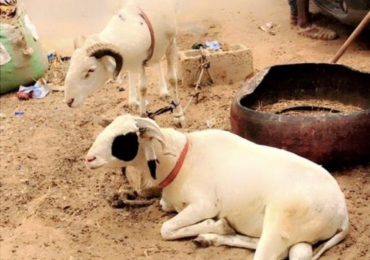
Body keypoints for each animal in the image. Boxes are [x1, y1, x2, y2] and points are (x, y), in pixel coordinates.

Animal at [84, 115, 350, 260]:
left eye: (125, 138)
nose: (89, 158)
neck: (182, 158)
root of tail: (343, 215)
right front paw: (216, 228)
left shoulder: (204, 205)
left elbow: (166, 229)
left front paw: (214, 224)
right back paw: (209, 238)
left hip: (281, 220)